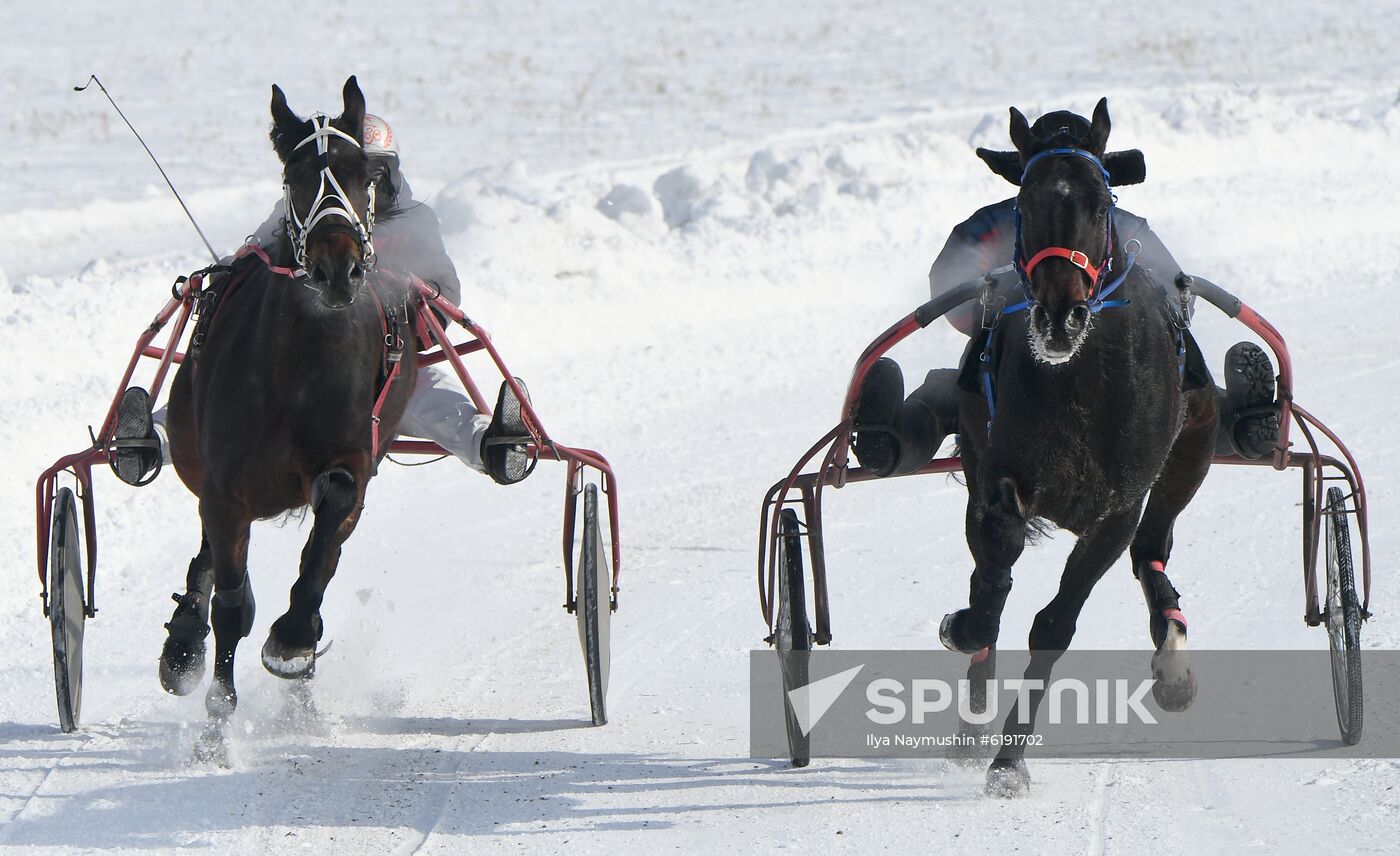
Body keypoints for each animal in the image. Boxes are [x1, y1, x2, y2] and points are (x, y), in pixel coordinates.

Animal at [156, 76, 418, 761]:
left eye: (362, 174)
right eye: (293, 176)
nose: (336, 267)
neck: (300, 363)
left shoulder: (351, 459)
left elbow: (323, 547)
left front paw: (294, 639)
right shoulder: (225, 488)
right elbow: (231, 605)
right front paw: (215, 726)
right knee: (211, 568)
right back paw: (184, 642)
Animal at [938, 99, 1218, 796]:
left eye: (1098, 200)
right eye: (1026, 198)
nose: (1059, 316)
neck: (1082, 376)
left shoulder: (1117, 508)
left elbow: (1055, 623)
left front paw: (1009, 762)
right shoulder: (1001, 477)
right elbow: (991, 582)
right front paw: (965, 632)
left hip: (1191, 453)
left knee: (1152, 548)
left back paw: (1172, 658)